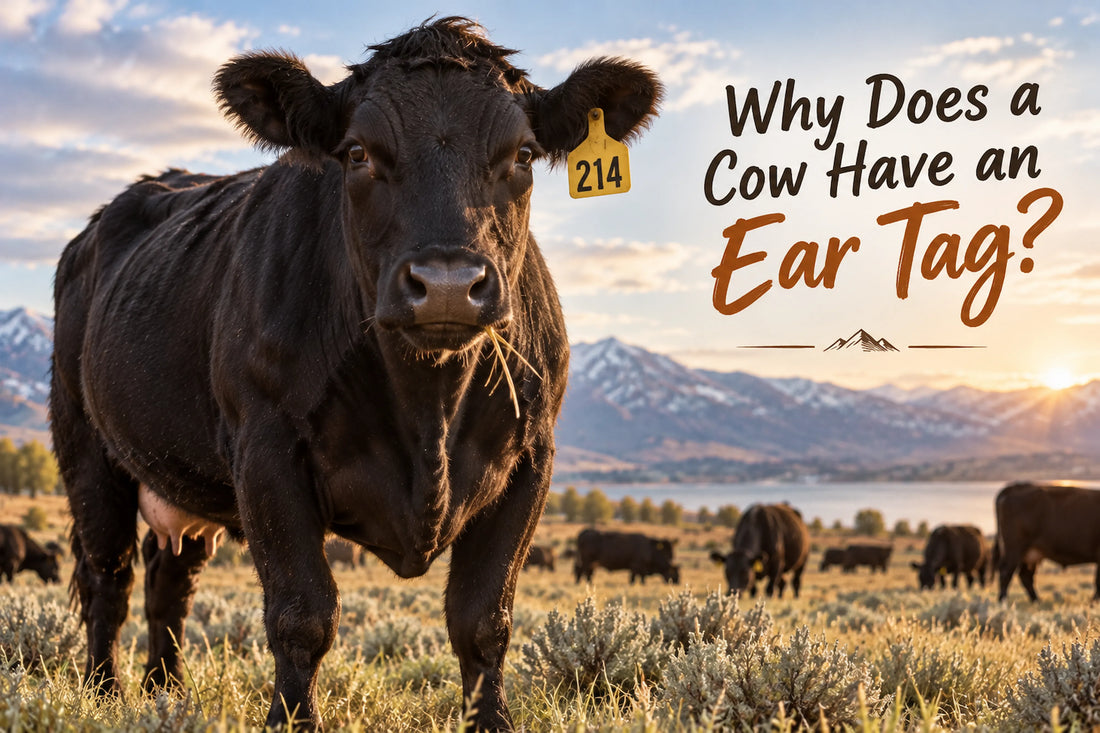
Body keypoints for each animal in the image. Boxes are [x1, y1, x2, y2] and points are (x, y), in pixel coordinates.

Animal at [48, 17, 661, 732]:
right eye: (359, 152)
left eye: (525, 155)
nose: (447, 285)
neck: (427, 407)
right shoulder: (266, 451)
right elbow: (302, 614)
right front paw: (292, 719)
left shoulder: (531, 458)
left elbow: (483, 619)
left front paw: (492, 720)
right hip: (88, 450)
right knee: (107, 576)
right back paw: (105, 691)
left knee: (168, 579)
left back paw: (166, 692)